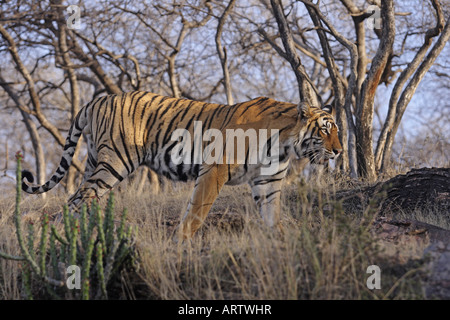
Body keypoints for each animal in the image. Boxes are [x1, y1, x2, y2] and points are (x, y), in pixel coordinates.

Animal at [21, 91, 342, 239]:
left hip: (93, 162)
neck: (283, 144)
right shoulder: (215, 170)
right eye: (325, 130)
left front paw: (283, 241)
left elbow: (273, 216)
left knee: (77, 197)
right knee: (79, 199)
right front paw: (182, 241)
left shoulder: (268, 183)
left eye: (336, 130)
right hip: (114, 163)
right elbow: (197, 210)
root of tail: (97, 100)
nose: (339, 151)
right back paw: (68, 234)